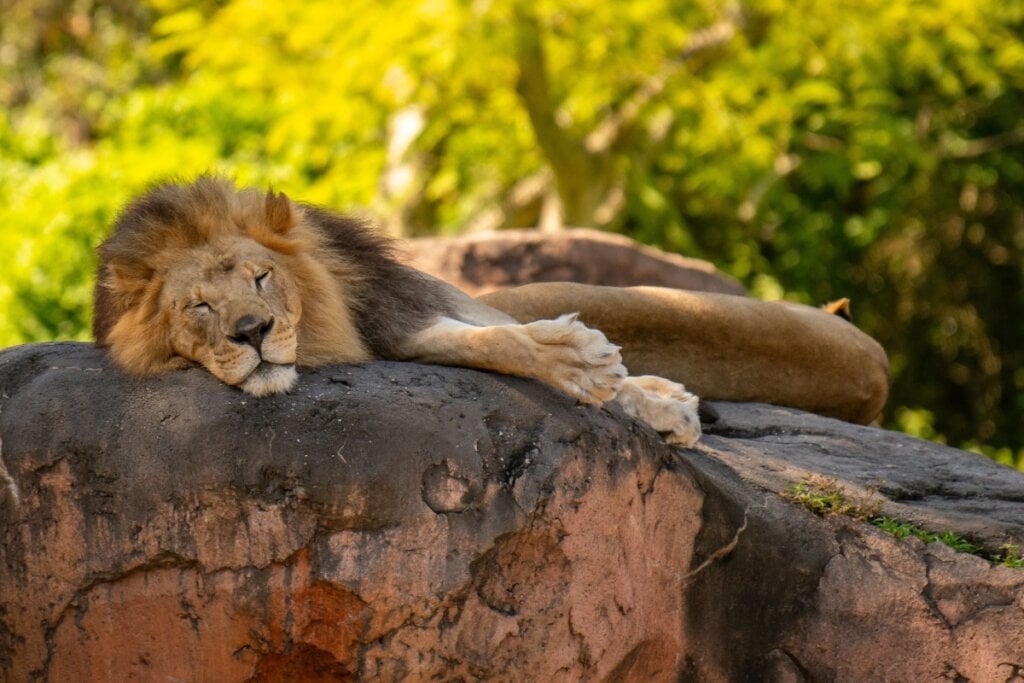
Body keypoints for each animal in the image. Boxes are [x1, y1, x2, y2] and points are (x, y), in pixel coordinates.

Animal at [94, 176, 704, 446]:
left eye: (261, 277)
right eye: (199, 306)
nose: (252, 331)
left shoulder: (395, 304)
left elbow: (500, 333)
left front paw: (594, 366)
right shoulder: (394, 334)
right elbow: (490, 343)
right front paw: (584, 365)